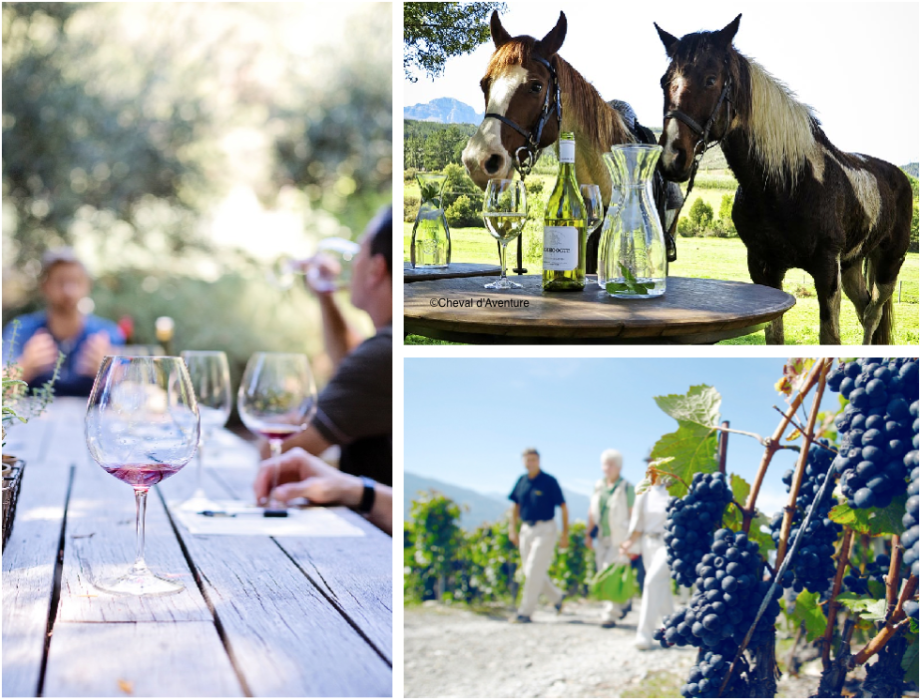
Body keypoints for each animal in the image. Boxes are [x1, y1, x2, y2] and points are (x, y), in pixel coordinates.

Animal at [656, 14, 912, 344]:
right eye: (664, 81)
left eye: (711, 79)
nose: (673, 157)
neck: (787, 185)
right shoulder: (764, 267)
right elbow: (774, 336)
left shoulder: (826, 270)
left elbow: (830, 337)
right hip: (853, 263)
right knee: (864, 307)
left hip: (890, 263)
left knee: (872, 314)